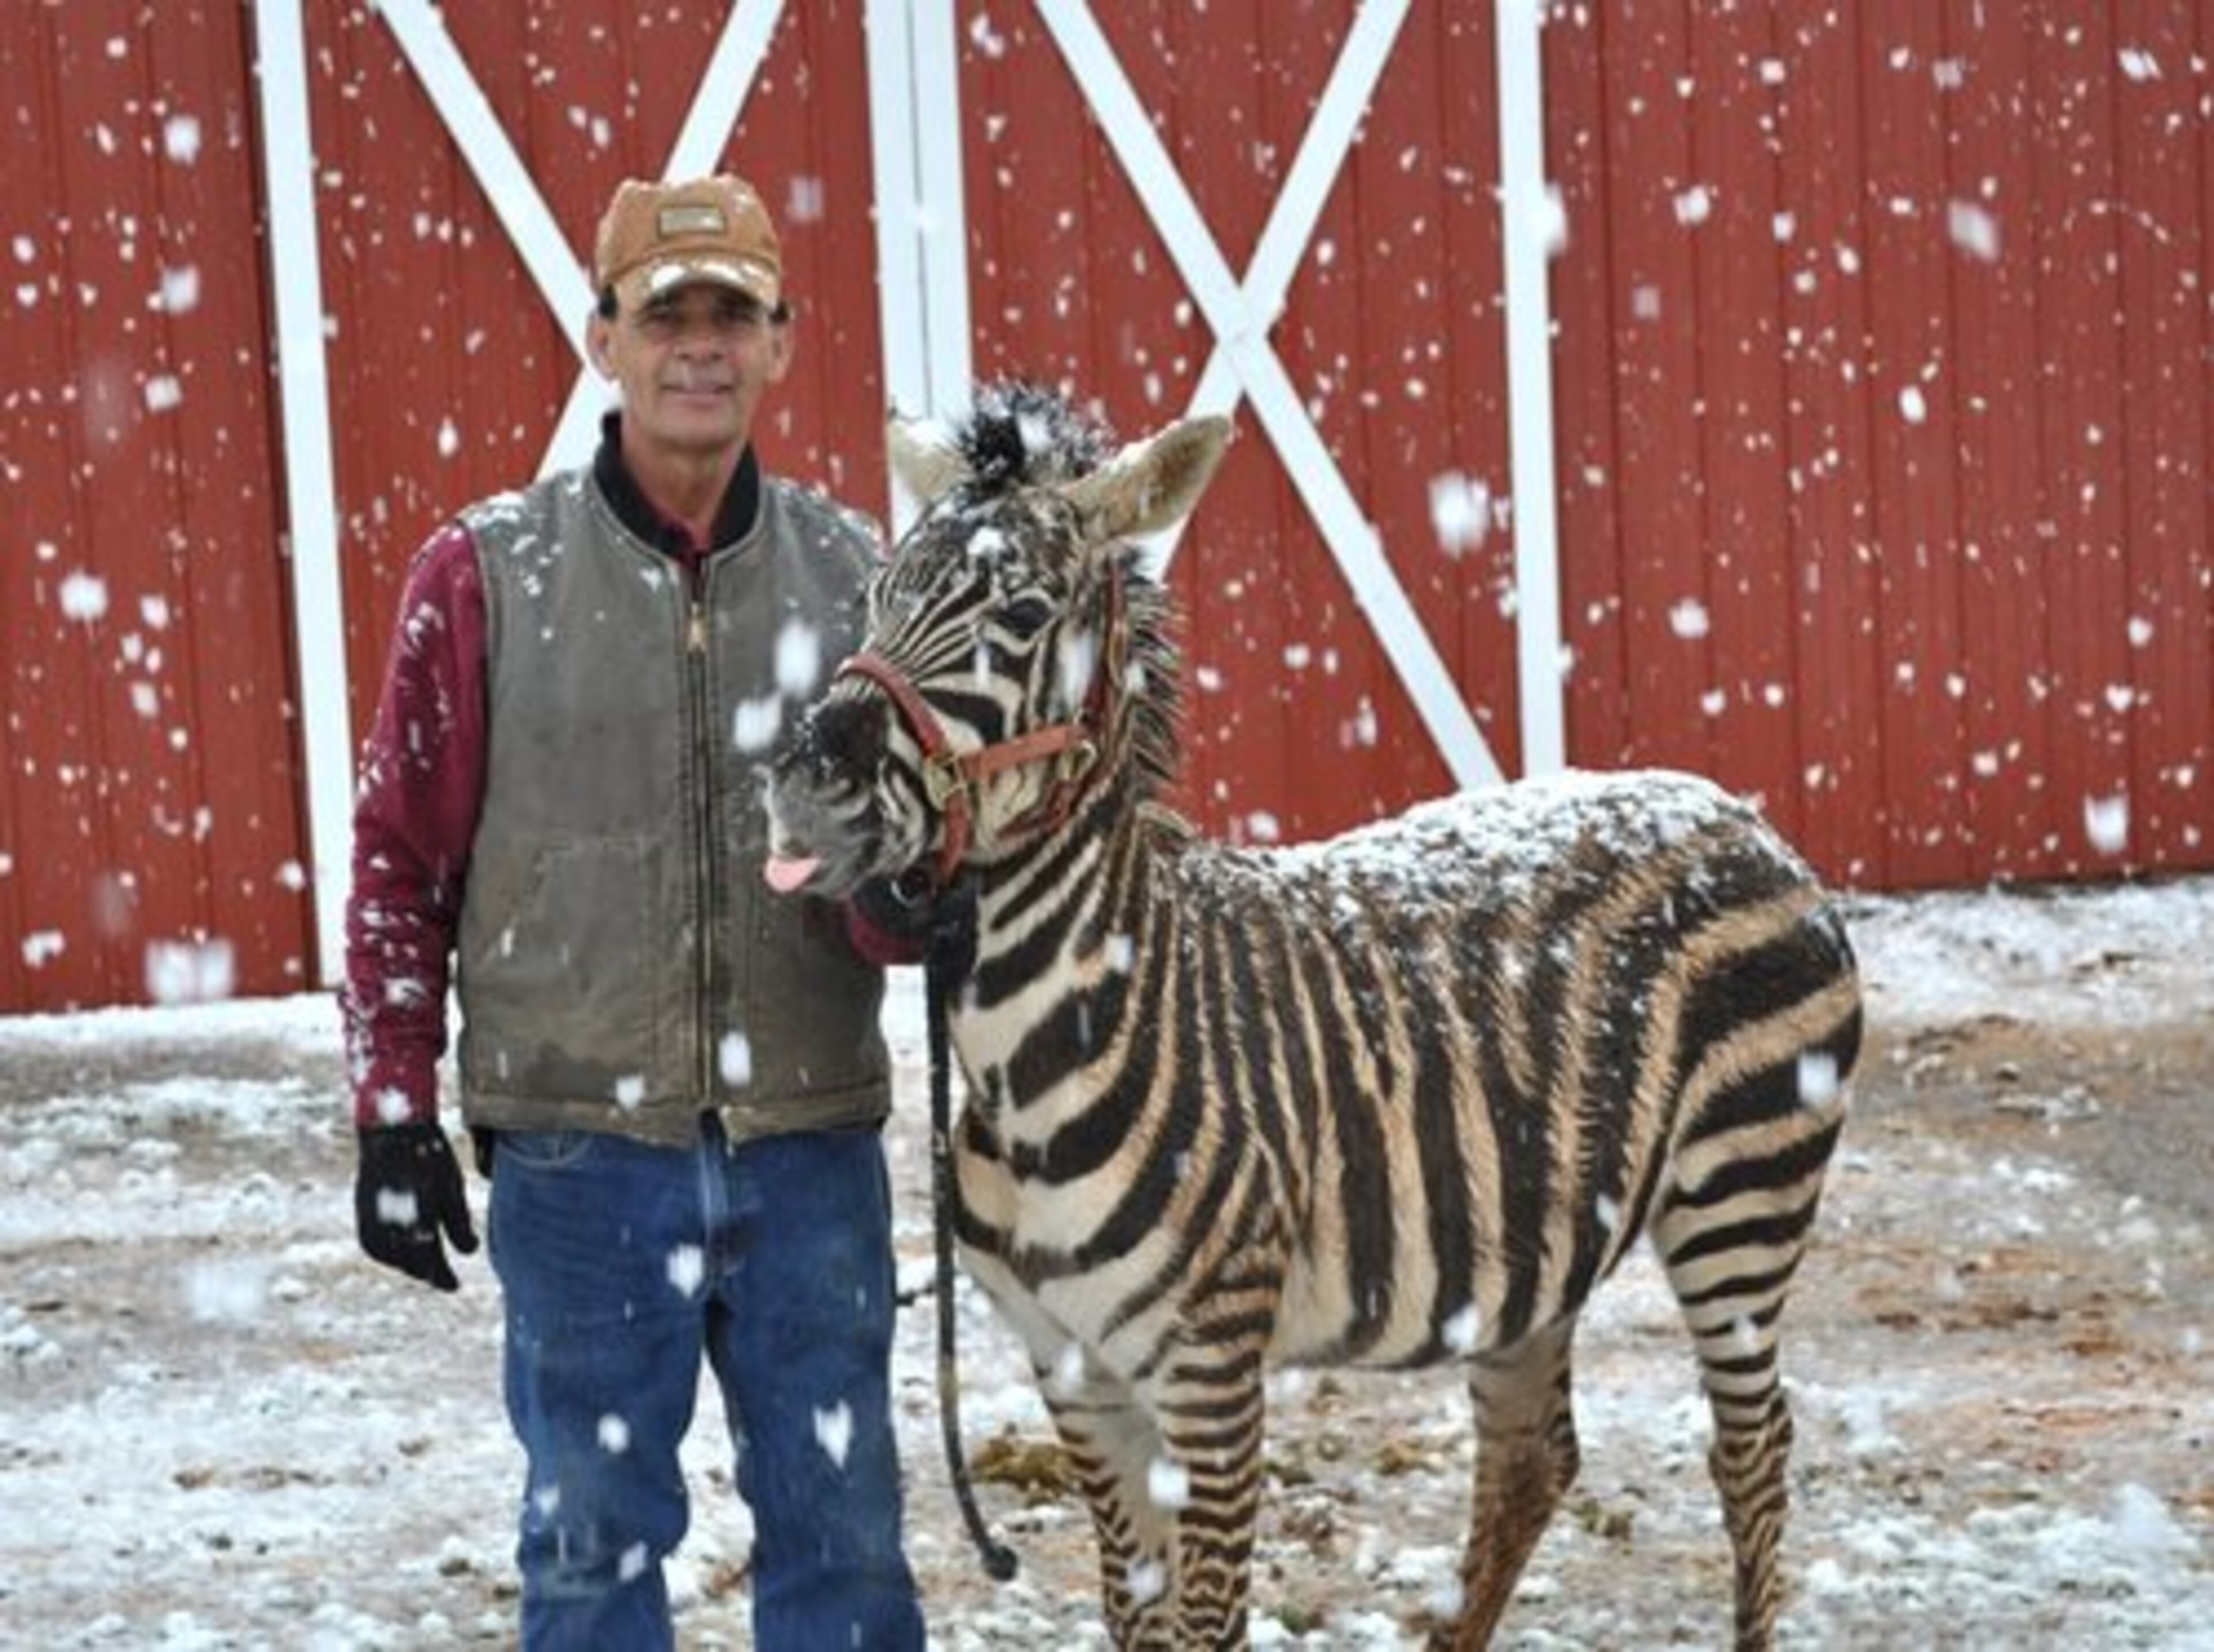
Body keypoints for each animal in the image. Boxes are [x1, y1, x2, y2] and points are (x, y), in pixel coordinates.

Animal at [761, 383, 1862, 1650]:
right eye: (878, 597)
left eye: (1024, 612)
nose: (807, 784)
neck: (1048, 1054)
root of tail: (1736, 811)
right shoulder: (1072, 1374)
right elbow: (1136, 1614)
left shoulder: (1211, 1376)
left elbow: (1206, 1624)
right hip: (1536, 1249)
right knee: (1533, 1457)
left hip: (1741, 1196)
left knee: (1754, 1453)